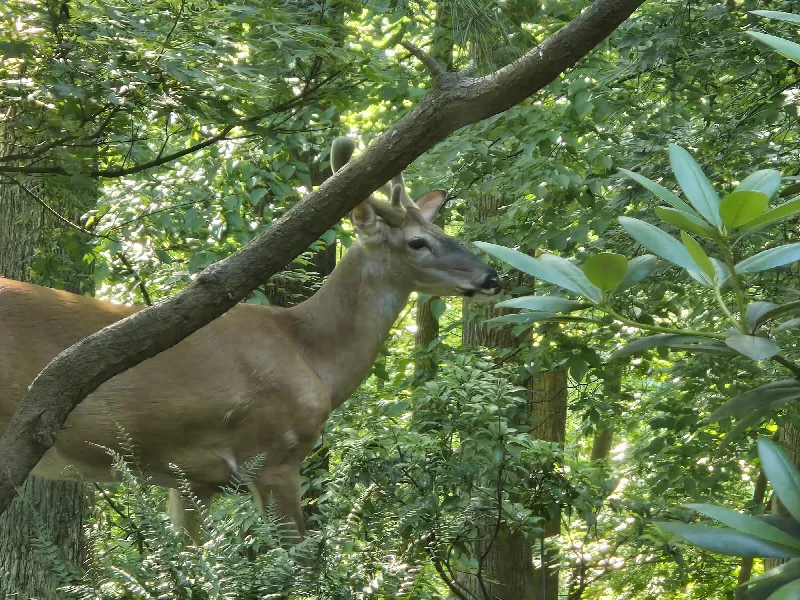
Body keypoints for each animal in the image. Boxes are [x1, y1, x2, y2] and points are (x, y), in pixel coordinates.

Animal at [0, 137, 501, 539]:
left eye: (443, 230)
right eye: (418, 242)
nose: (492, 277)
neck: (309, 354)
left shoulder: (193, 479)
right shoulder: (272, 452)